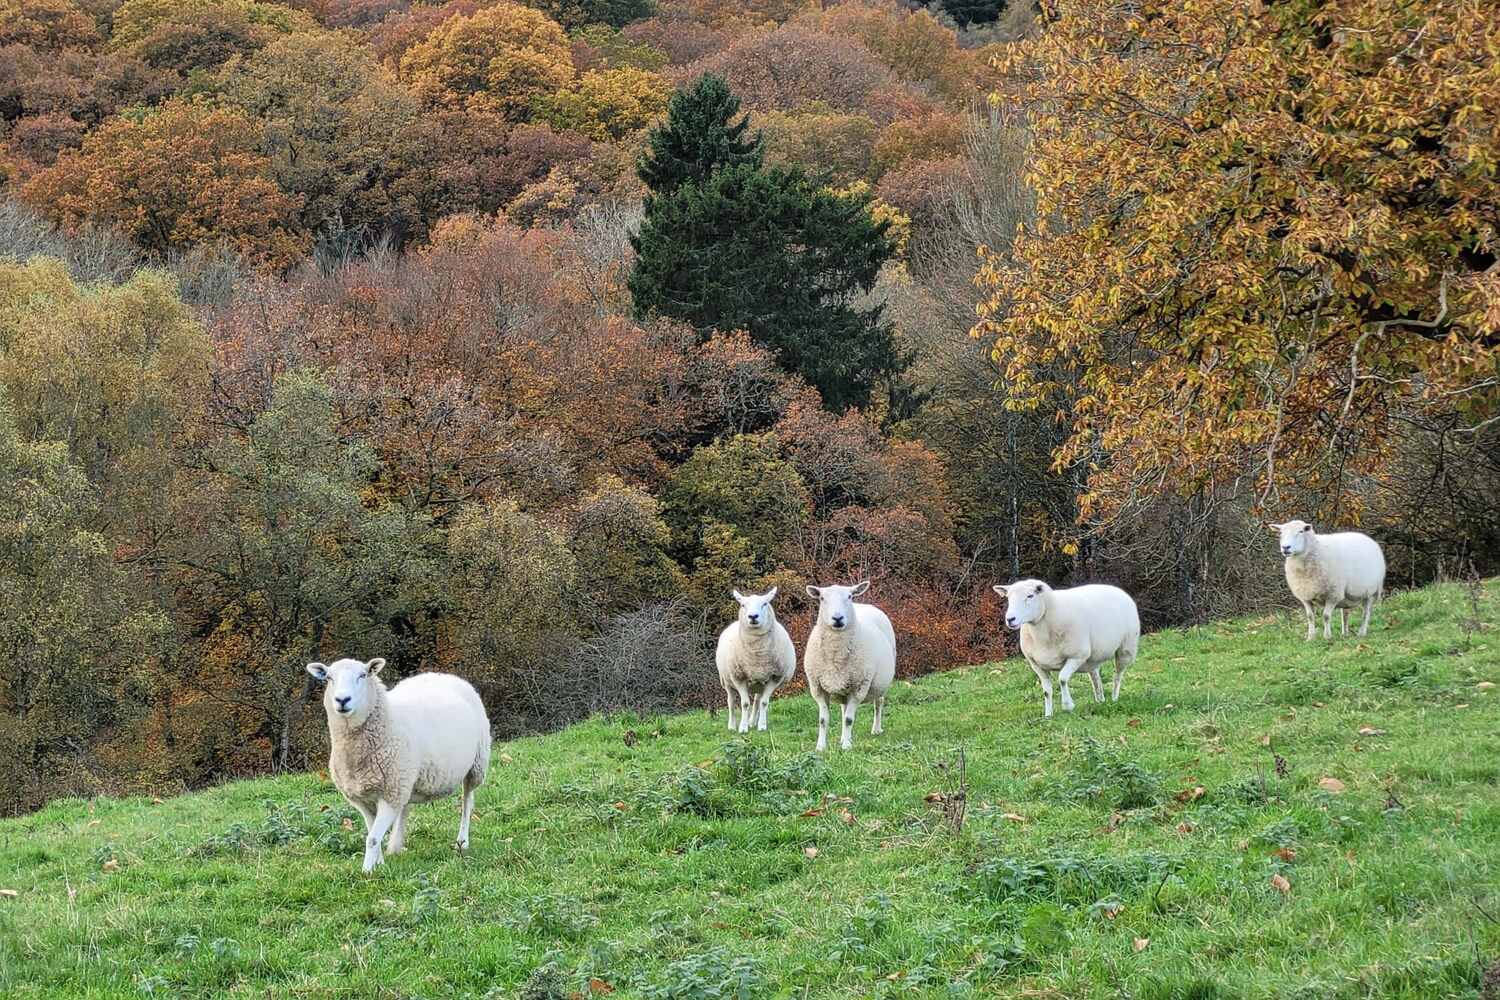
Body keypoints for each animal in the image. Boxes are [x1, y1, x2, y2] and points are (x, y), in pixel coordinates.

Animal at [306, 657, 491, 873]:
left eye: (363, 675)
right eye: (328, 678)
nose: (342, 700)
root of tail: (443, 675)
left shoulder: (390, 794)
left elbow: (372, 838)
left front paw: (367, 871)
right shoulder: (365, 799)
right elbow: (372, 833)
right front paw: (378, 863)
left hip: (476, 765)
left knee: (467, 802)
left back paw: (462, 841)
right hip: (407, 780)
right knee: (405, 807)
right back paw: (396, 845)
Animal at [716, 587, 798, 734]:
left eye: (765, 603)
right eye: (743, 605)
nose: (753, 616)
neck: (758, 656)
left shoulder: (774, 677)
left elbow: (764, 703)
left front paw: (762, 726)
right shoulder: (739, 677)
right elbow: (744, 703)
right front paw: (742, 728)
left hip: (760, 682)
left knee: (757, 701)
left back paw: (752, 722)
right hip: (726, 680)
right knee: (731, 701)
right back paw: (732, 725)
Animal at [803, 581, 896, 751]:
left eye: (850, 596)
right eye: (822, 598)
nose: (838, 618)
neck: (835, 655)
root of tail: (865, 605)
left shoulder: (858, 688)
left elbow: (849, 720)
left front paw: (846, 747)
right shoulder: (818, 688)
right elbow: (823, 720)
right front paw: (821, 747)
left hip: (879, 683)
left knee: (878, 703)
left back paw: (876, 729)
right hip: (844, 687)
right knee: (843, 709)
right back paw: (843, 737)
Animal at [994, 580, 1139, 718]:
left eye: (1030, 595)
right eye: (1008, 597)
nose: (1010, 619)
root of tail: (1116, 589)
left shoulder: (1077, 656)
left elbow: (1062, 679)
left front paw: (1068, 705)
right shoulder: (1037, 665)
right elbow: (1046, 691)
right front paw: (1048, 715)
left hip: (1126, 648)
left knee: (1118, 675)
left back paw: (1114, 698)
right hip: (1092, 657)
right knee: (1095, 676)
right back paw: (1100, 699)